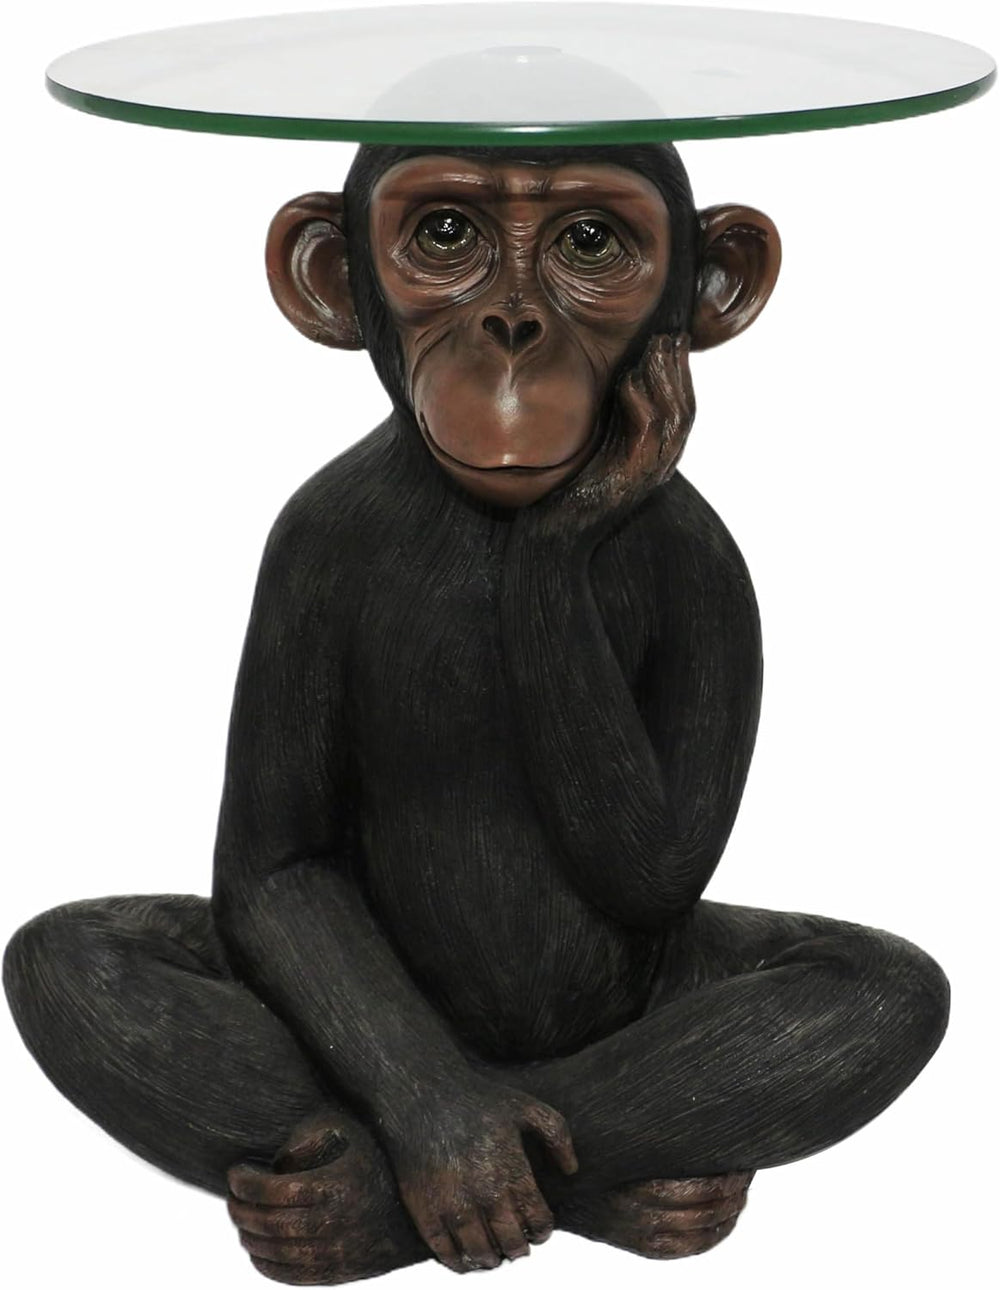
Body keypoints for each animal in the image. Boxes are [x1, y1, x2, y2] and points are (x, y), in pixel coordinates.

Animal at [3, 142, 949, 1287]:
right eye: (448, 233)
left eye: (590, 241)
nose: (511, 327)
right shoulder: (304, 545)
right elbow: (277, 865)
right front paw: (458, 1149)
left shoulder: (712, 567)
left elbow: (664, 860)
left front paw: (571, 523)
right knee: (74, 962)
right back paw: (346, 1194)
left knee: (867, 995)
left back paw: (597, 1200)